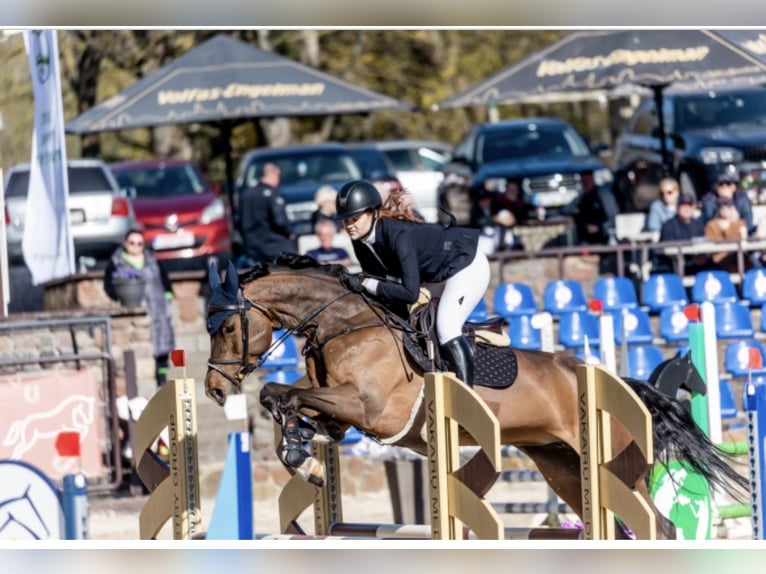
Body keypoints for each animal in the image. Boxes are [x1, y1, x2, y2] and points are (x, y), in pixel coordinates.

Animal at [204, 256, 752, 540]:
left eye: (228, 327)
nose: (213, 389)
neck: (344, 323)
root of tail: (619, 383)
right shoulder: (340, 415)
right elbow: (284, 398)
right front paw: (304, 457)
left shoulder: (370, 410)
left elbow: (282, 393)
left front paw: (303, 456)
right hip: (562, 466)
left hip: (617, 469)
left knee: (660, 525)